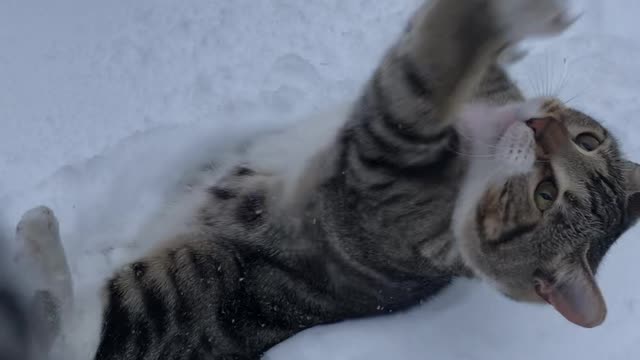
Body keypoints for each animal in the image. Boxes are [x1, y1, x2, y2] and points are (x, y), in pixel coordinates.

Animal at [11, 0, 640, 358]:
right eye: (588, 140)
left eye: (544, 195)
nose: (541, 127)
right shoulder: (483, 94)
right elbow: (453, 61)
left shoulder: (382, 170)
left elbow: (420, 78)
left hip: (183, 291)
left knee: (69, 333)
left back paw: (36, 232)